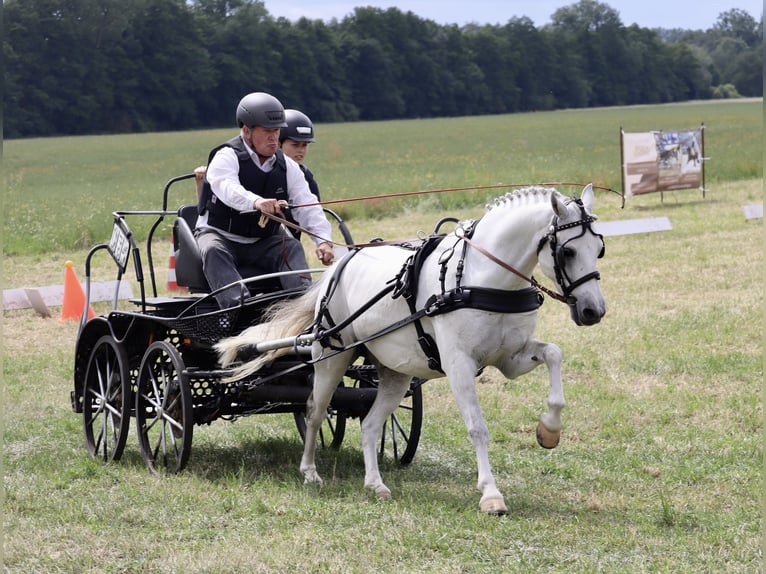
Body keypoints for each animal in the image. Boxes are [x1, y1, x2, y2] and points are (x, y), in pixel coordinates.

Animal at [219, 186, 608, 516]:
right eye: (568, 250)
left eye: (600, 248)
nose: (594, 311)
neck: (481, 278)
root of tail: (338, 266)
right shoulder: (459, 364)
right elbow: (477, 428)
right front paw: (491, 494)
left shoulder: (511, 358)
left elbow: (554, 355)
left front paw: (549, 431)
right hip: (332, 356)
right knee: (315, 411)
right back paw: (311, 472)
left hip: (394, 373)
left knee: (370, 424)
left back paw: (375, 484)